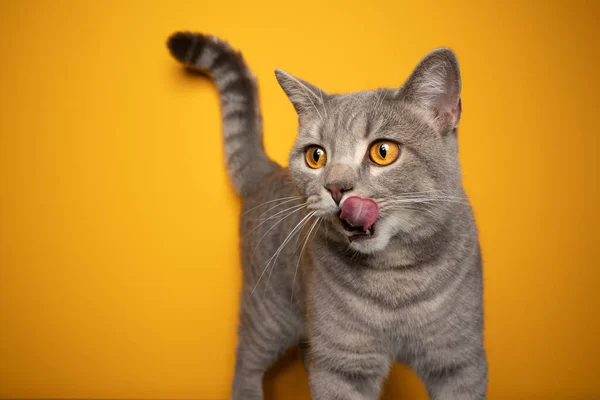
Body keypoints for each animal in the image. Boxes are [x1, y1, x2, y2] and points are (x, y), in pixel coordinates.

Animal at [166, 32, 486, 400]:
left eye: (383, 152)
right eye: (316, 156)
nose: (335, 187)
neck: (394, 282)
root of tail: (267, 173)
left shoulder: (460, 359)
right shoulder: (342, 364)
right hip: (269, 312)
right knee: (246, 360)